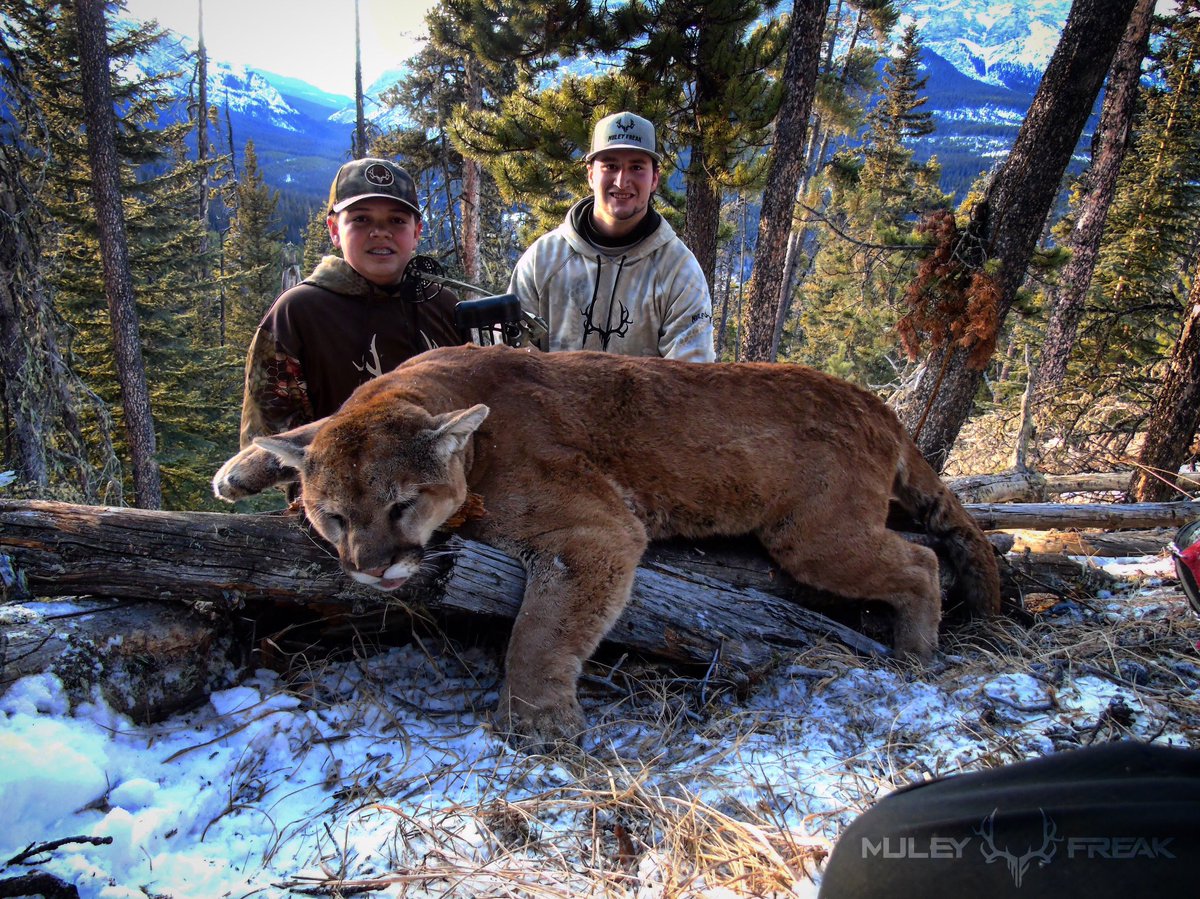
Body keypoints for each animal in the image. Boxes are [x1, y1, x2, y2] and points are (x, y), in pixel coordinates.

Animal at [214, 343, 1000, 746]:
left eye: (401, 505)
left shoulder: (594, 527)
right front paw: (241, 466)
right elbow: (313, 422)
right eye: (334, 516)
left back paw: (917, 648)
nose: (374, 571)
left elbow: (539, 630)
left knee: (923, 559)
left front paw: (537, 721)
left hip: (815, 535)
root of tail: (875, 403)